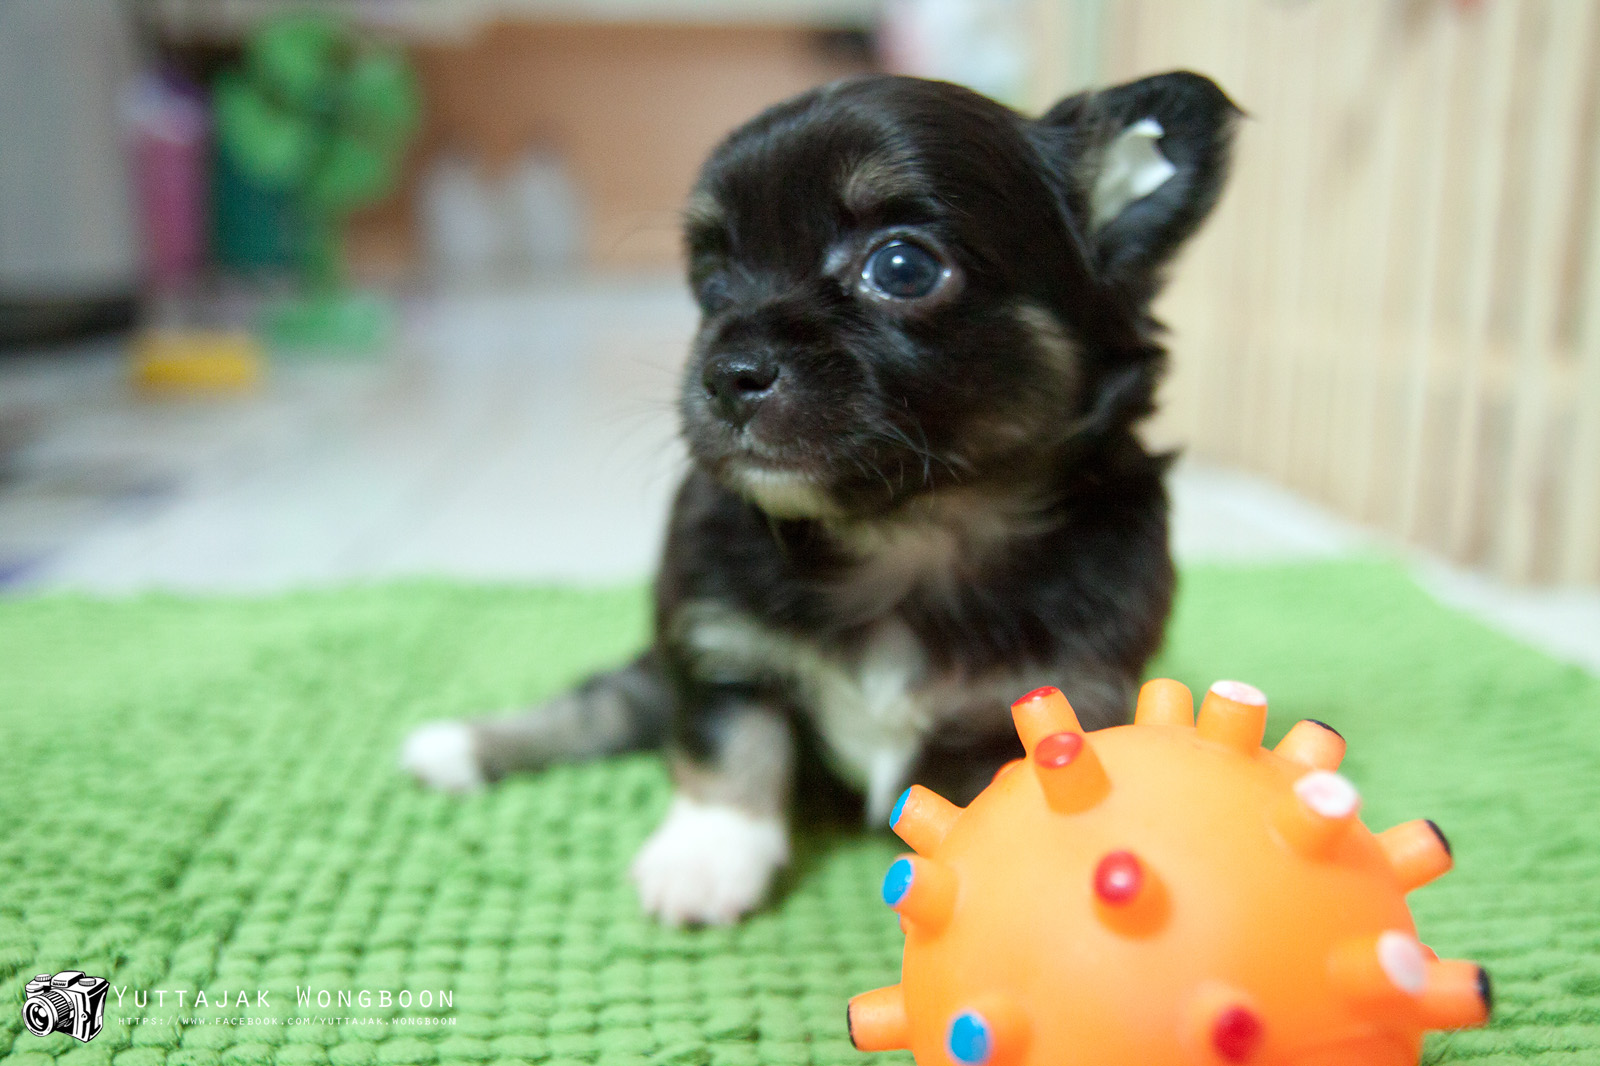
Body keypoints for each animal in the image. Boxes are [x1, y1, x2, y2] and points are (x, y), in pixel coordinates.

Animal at [403, 70, 1238, 925]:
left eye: (901, 267)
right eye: (713, 283)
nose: (726, 374)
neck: (906, 536)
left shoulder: (1056, 697)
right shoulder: (715, 638)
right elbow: (727, 742)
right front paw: (707, 857)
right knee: (603, 702)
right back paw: (460, 746)